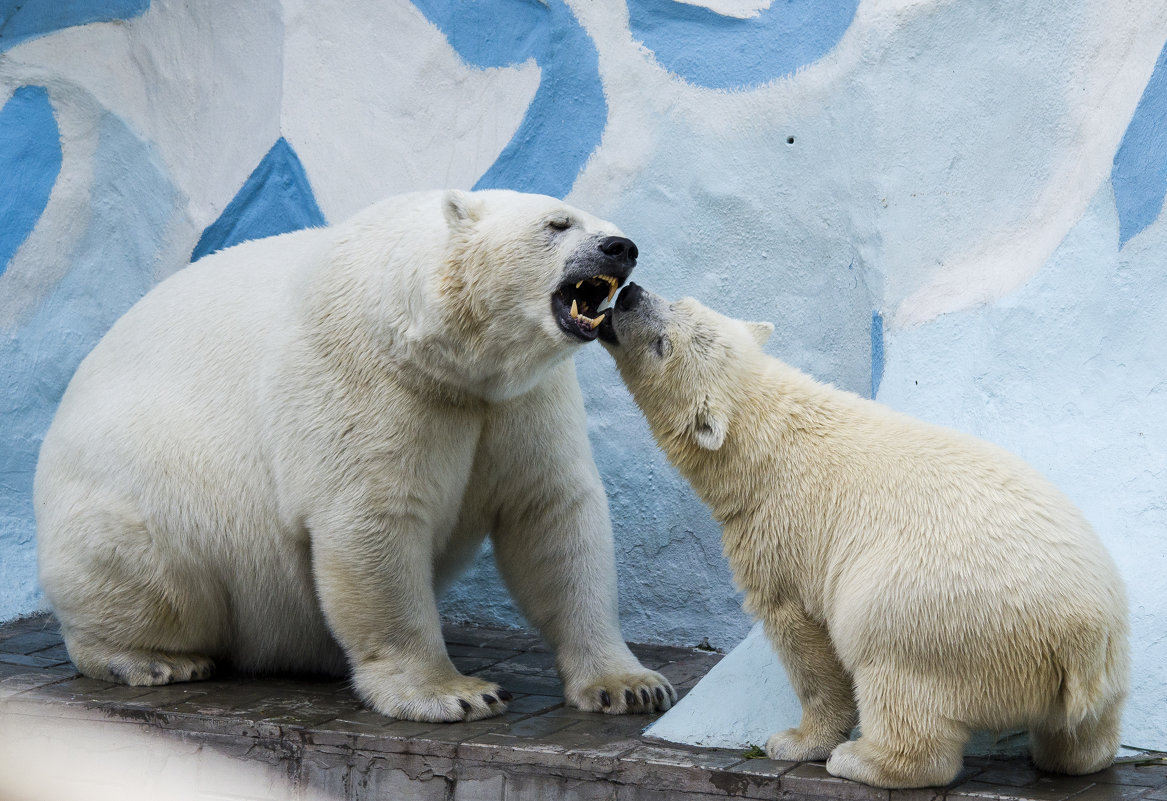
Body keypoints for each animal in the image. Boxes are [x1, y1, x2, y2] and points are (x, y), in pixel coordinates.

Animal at [38, 190, 676, 728]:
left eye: (604, 222)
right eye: (558, 223)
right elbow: (373, 520)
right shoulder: (366, 375)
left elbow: (551, 514)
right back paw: (152, 658)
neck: (442, 350)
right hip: (138, 489)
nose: (621, 247)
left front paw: (630, 685)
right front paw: (457, 693)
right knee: (143, 564)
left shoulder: (519, 400)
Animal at [597, 283, 1124, 789]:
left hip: (931, 614)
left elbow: (801, 634)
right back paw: (1066, 757)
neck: (765, 440)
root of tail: (1078, 635)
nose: (629, 294)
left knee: (896, 676)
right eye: (677, 301)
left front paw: (796, 740)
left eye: (663, 345)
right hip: (1110, 653)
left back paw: (861, 760)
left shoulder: (780, 530)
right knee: (1086, 730)